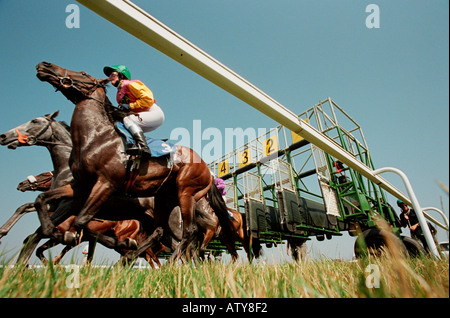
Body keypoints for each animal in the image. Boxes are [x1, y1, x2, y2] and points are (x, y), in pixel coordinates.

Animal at [34, 61, 236, 260]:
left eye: (83, 73)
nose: (44, 65)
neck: (96, 137)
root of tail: (207, 169)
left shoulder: (106, 184)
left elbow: (81, 221)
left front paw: (122, 243)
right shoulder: (82, 186)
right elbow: (41, 201)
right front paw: (53, 230)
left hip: (186, 193)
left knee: (190, 231)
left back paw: (169, 262)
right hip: (165, 199)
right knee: (162, 231)